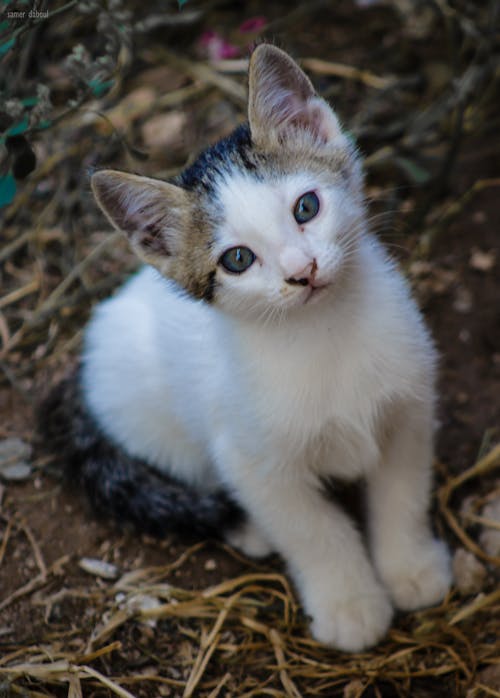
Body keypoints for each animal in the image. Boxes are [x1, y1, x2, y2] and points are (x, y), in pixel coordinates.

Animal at [41, 44, 452, 652]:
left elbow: (402, 492)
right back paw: (252, 532)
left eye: (306, 207)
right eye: (238, 259)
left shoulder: (409, 408)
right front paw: (351, 604)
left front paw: (410, 568)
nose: (302, 271)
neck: (323, 334)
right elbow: (314, 529)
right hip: (158, 430)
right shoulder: (254, 460)